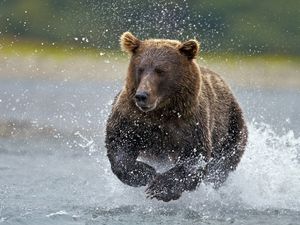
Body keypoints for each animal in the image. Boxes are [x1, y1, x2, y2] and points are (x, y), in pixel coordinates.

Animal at [105, 31, 248, 202]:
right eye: (140, 68)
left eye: (160, 70)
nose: (142, 96)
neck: (162, 110)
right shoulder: (132, 118)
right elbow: (119, 143)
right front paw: (145, 173)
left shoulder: (190, 123)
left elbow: (194, 158)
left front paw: (160, 188)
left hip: (231, 127)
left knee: (221, 166)